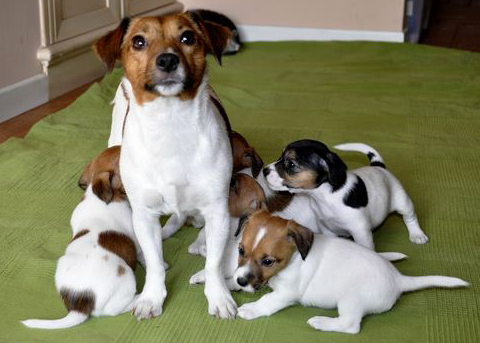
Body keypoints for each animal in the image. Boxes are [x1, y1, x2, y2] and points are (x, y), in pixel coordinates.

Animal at [94, 12, 236, 320]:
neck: (170, 125)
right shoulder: (144, 216)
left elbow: (214, 264)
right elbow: (155, 262)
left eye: (187, 37)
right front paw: (151, 297)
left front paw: (218, 296)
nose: (167, 60)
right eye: (138, 41)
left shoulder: (218, 211)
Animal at [232, 211, 468, 334]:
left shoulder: (286, 293)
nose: (241, 281)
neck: (295, 257)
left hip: (350, 300)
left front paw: (251, 309)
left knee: (351, 325)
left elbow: (268, 301)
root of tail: (399, 280)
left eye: (268, 261)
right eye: (241, 250)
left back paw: (321, 322)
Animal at [264, 140, 430, 250]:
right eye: (280, 157)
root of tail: (378, 166)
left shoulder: (360, 231)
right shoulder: (326, 228)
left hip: (402, 202)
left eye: (291, 164)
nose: (265, 170)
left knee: (410, 217)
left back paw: (417, 234)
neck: (325, 197)